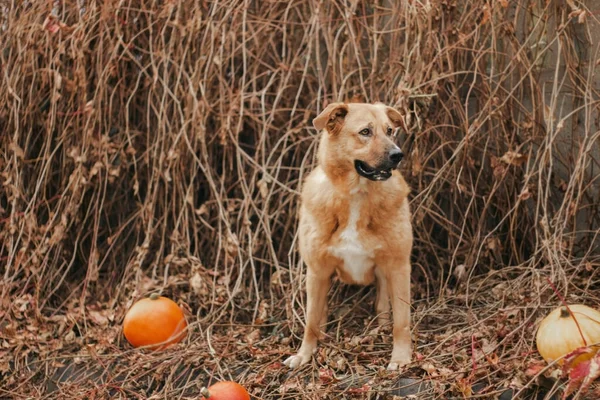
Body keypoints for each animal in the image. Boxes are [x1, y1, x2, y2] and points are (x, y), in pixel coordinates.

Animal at [284, 101, 414, 370]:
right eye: (365, 132)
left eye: (390, 130)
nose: (398, 155)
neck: (357, 194)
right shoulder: (317, 271)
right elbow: (311, 321)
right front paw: (305, 354)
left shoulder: (399, 267)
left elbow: (402, 321)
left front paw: (400, 357)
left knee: (384, 309)